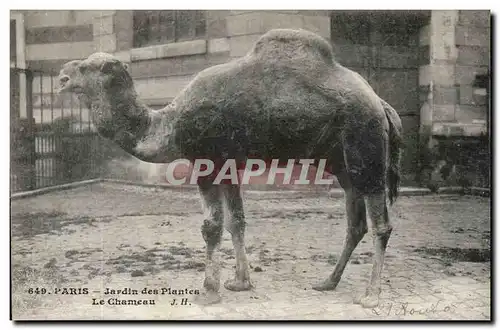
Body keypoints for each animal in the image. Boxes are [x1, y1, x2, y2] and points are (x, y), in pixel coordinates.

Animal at [57, 29, 402, 310]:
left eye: (88, 67)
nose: (62, 76)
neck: (167, 124)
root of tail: (382, 104)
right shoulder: (229, 166)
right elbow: (237, 221)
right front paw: (240, 282)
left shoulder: (206, 164)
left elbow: (211, 226)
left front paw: (208, 291)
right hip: (344, 164)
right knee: (355, 223)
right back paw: (328, 282)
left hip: (366, 147)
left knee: (380, 224)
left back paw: (371, 296)